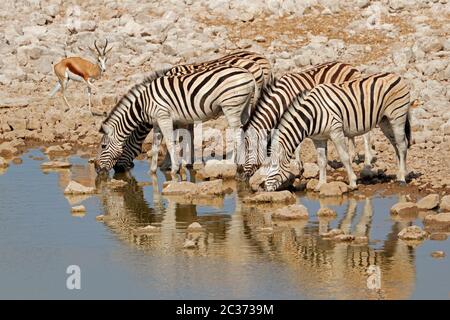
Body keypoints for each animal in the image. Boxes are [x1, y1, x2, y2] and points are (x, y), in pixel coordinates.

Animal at [112, 50, 274, 172]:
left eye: (122, 148)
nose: (117, 170)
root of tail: (262, 60)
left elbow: (175, 138)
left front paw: (171, 164)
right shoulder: (185, 114)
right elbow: (188, 136)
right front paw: (187, 162)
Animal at [236, 61, 370, 179]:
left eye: (247, 151)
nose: (240, 176)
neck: (281, 100)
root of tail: (349, 65)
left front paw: (297, 164)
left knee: (366, 132)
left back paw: (367, 162)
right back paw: (352, 157)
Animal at [260, 72, 412, 191]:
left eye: (273, 167)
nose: (264, 189)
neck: (312, 115)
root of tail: (396, 76)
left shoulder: (336, 132)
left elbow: (344, 157)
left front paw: (352, 183)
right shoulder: (319, 138)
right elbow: (321, 161)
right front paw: (320, 185)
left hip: (397, 117)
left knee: (402, 145)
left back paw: (402, 178)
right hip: (384, 121)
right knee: (396, 146)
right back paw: (399, 173)